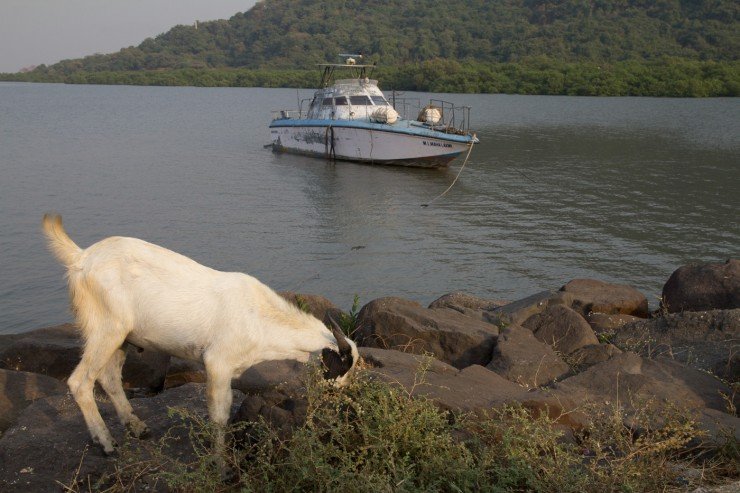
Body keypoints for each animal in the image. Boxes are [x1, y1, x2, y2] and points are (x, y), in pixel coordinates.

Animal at [42, 214, 360, 454]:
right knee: (80, 382)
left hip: (121, 338)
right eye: (341, 370)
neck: (261, 317)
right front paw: (221, 467)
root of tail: (81, 257)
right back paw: (106, 443)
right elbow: (220, 416)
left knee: (109, 378)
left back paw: (137, 427)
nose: (342, 401)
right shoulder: (217, 363)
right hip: (105, 329)